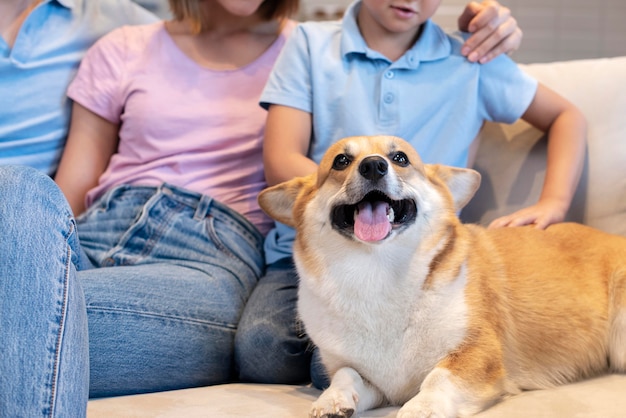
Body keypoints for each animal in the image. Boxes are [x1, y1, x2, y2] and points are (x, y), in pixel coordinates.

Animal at [256, 136, 624, 416]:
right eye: (341, 161)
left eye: (400, 158)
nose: (373, 165)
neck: (377, 271)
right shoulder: (369, 379)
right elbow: (346, 375)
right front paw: (332, 398)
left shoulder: (478, 352)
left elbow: (438, 378)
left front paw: (421, 407)